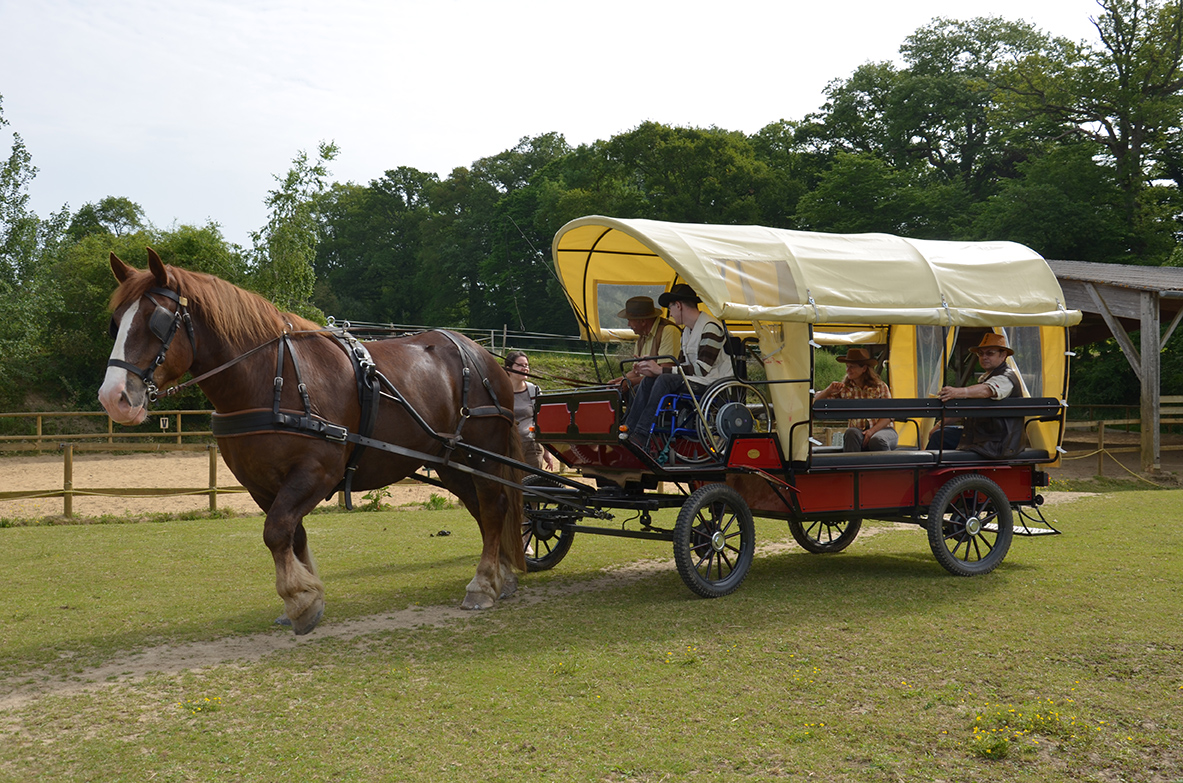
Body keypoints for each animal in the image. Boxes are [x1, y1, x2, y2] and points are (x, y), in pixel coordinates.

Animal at [99, 248, 525, 633]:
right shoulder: (260, 483)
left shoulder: (317, 471)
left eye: (156, 321)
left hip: (484, 455)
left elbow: (276, 530)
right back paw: (502, 573)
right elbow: (291, 532)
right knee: (483, 510)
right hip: (451, 461)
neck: (270, 378)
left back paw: (483, 584)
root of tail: (483, 354)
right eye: (115, 323)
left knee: (493, 507)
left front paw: (300, 599)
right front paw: (307, 597)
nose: (112, 397)